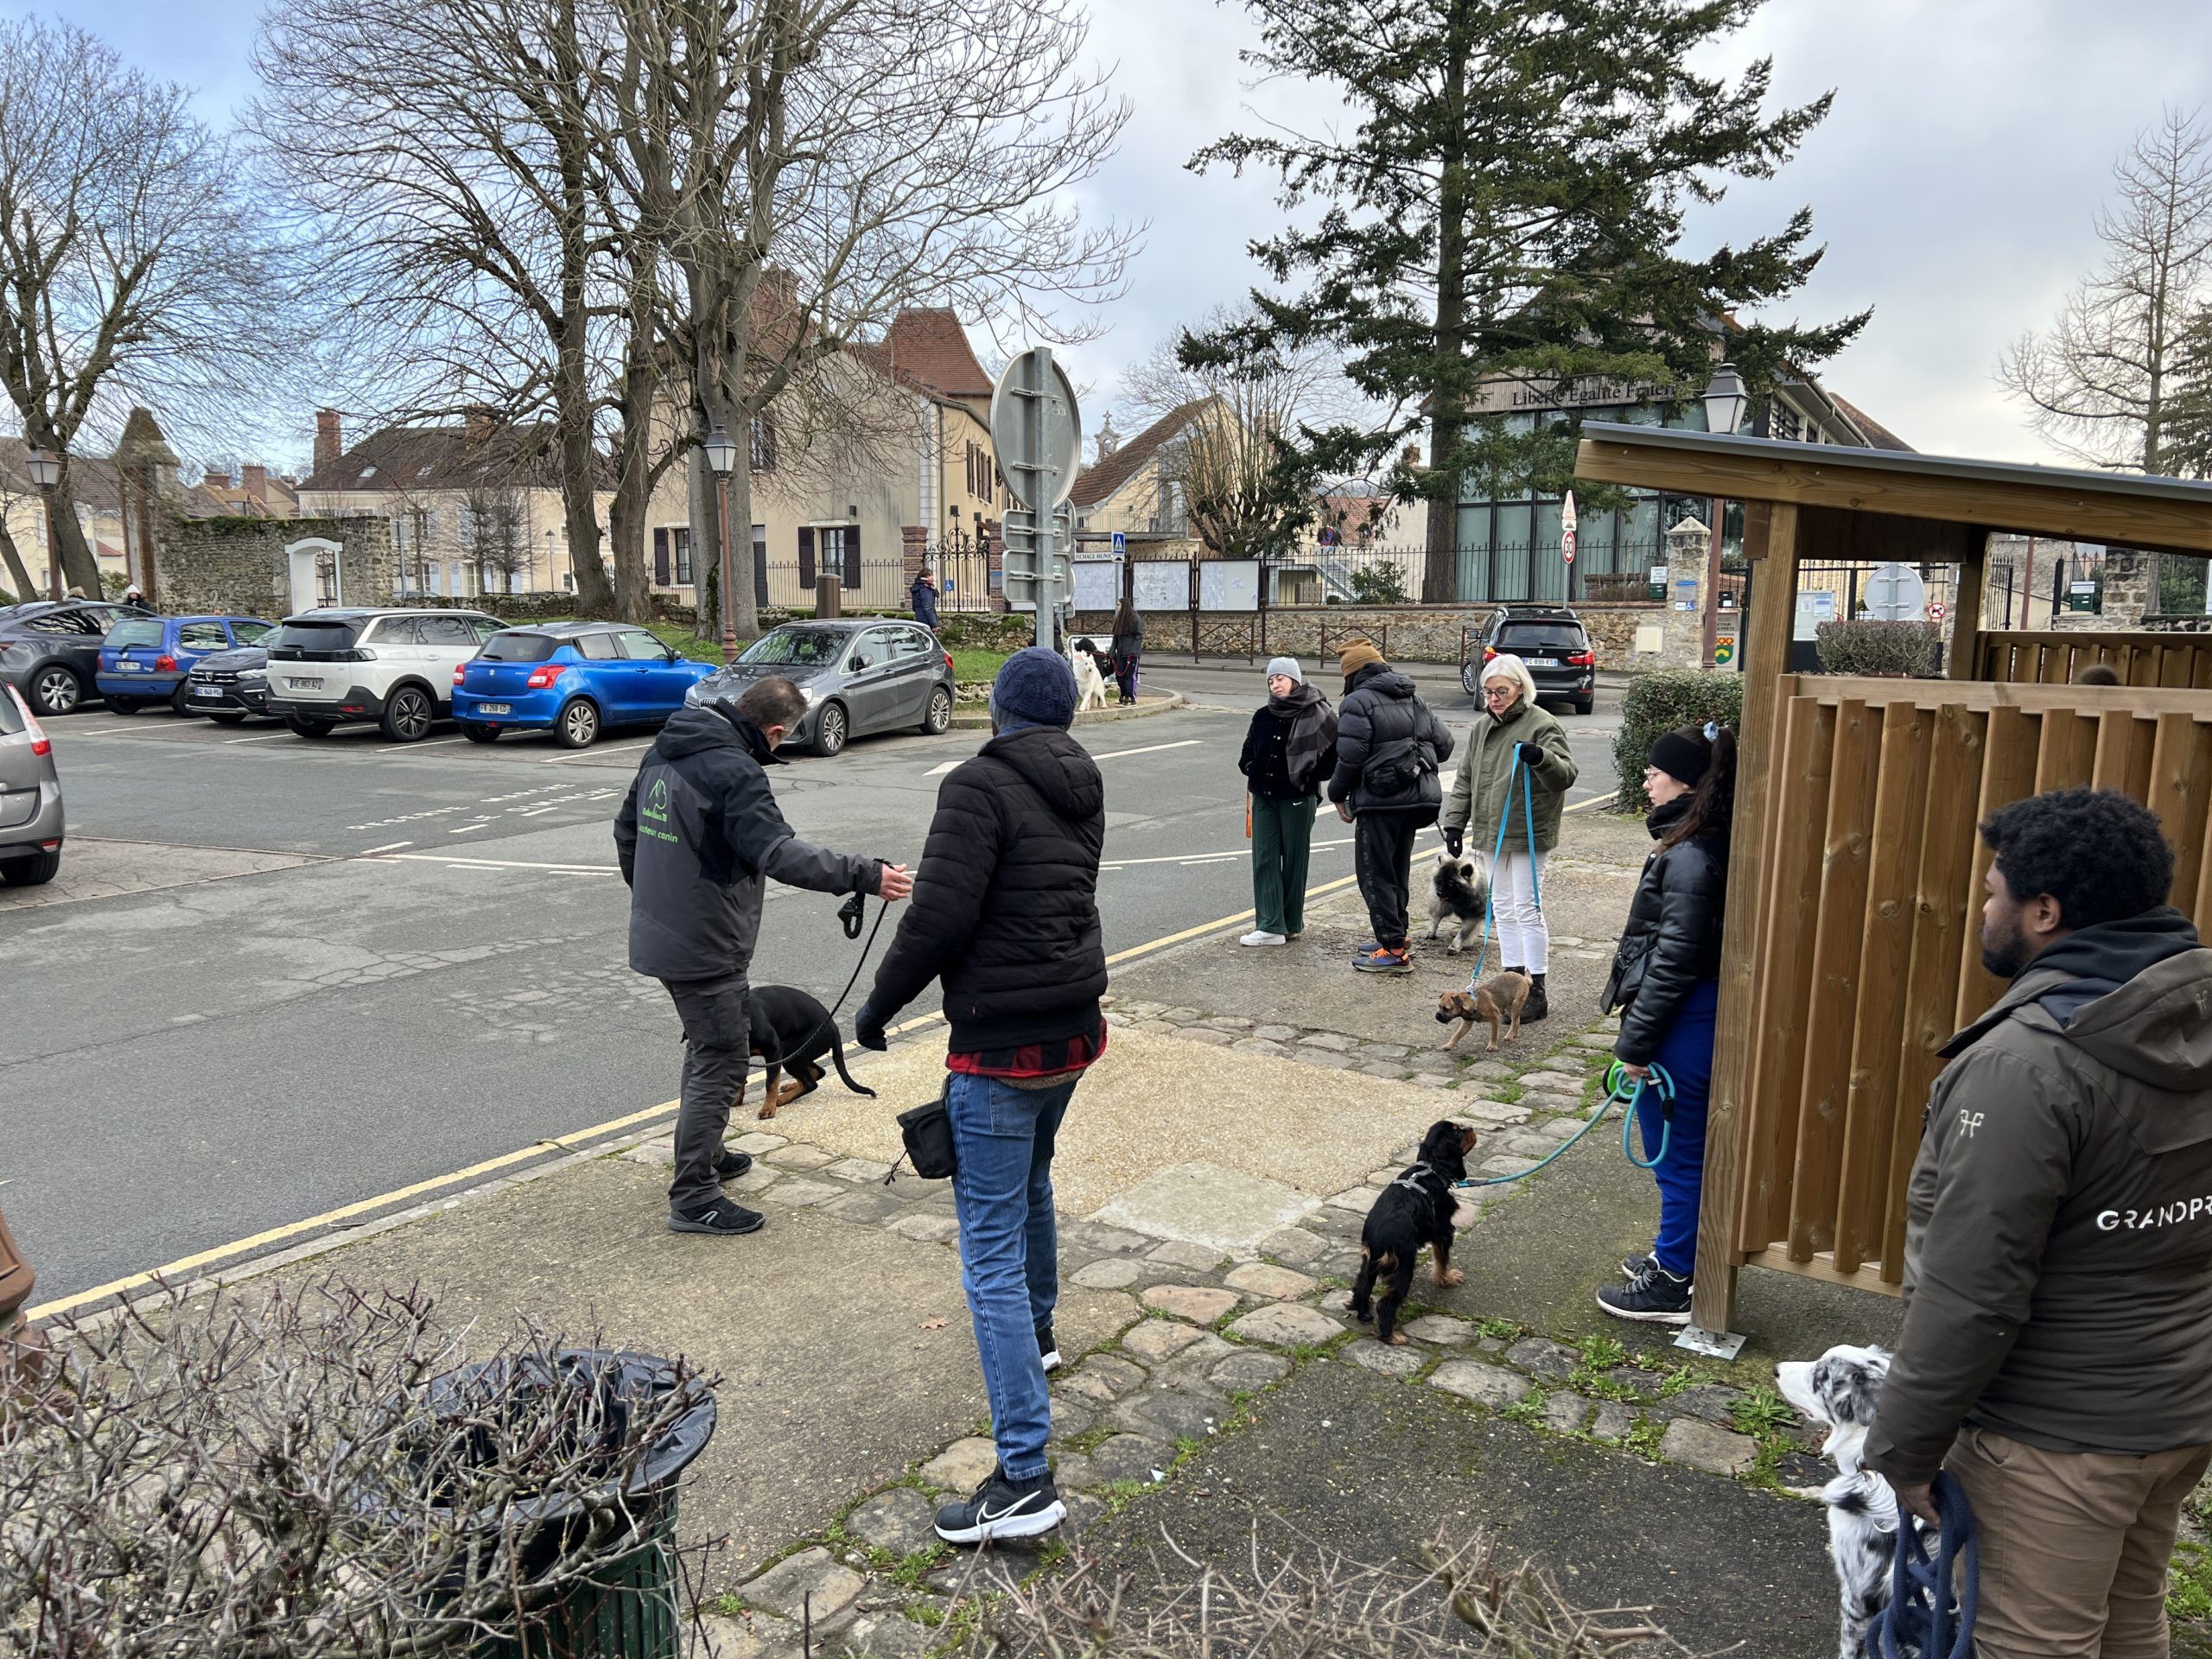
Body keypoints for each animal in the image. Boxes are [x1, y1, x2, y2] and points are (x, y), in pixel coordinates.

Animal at [747, 995, 875, 1123]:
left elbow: (770, 1083)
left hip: (791, 1053)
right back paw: (790, 1087)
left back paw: (782, 1099)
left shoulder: (774, 1050)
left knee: (810, 1083)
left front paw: (768, 1108)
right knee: (818, 1072)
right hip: (799, 1054)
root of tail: (834, 1027)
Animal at [1336, 1123, 1478, 1344]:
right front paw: (1446, 1279)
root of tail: (1379, 1242)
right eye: (1458, 1132)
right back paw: (1392, 1336)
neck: (1430, 1167)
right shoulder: (1443, 1230)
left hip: (1368, 1263)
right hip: (1404, 1266)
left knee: (1361, 1288)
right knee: (1386, 1304)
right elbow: (1442, 1259)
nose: (1470, 1127)